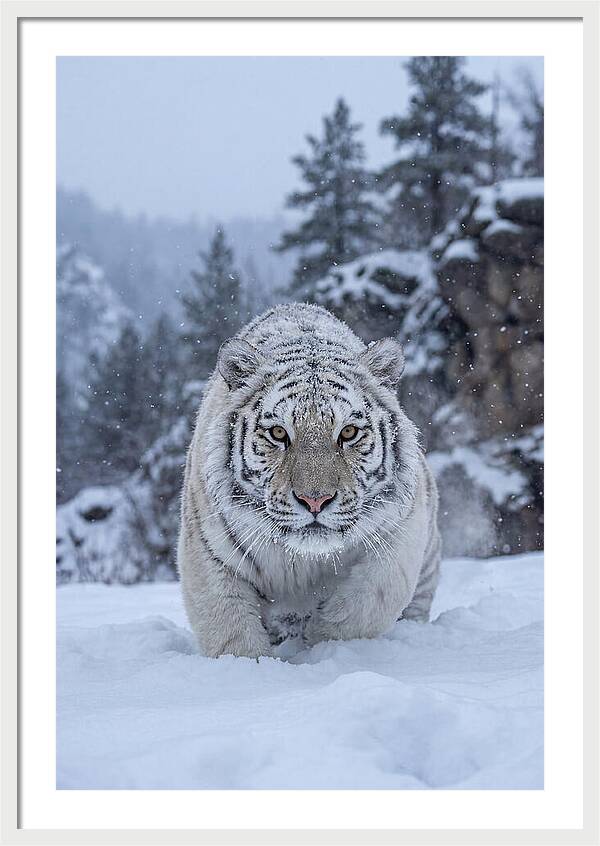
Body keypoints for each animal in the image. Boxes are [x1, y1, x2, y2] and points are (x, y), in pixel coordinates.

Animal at [177, 303, 441, 658]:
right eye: (278, 433)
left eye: (348, 432)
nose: (315, 500)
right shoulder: (208, 553)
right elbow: (231, 631)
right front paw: (251, 665)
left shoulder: (400, 533)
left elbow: (365, 604)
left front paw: (322, 643)